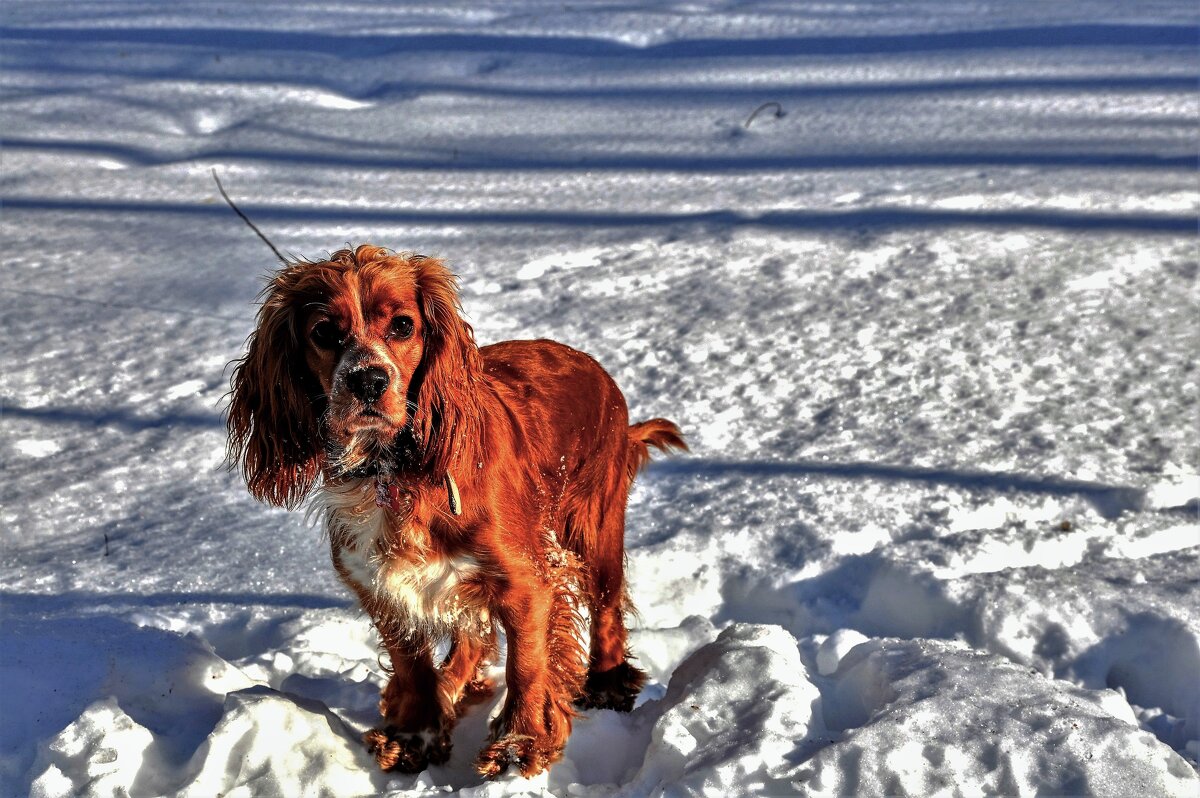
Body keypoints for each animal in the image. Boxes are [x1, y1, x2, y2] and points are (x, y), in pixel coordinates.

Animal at [225, 244, 686, 777]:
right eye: (323, 331)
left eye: (403, 325)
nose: (368, 381)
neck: (392, 472)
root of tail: (595, 368)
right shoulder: (380, 586)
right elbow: (413, 665)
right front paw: (415, 735)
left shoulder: (526, 579)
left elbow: (528, 664)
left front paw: (520, 744)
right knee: (470, 638)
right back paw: (452, 688)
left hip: (593, 527)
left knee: (607, 607)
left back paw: (608, 683)